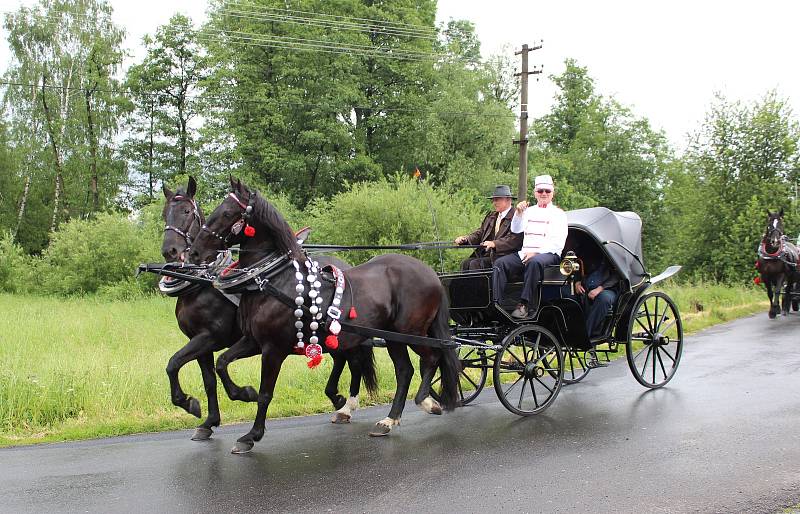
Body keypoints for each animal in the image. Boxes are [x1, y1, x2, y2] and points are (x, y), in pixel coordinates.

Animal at [161, 175, 380, 436]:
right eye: (164, 214)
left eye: (186, 211)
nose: (170, 251)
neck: (200, 285)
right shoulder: (202, 342)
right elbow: (206, 379)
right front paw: (208, 420)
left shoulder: (209, 337)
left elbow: (174, 363)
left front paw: (206, 402)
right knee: (343, 360)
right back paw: (339, 400)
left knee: (353, 361)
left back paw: (345, 404)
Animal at [188, 177, 460, 452]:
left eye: (227, 213)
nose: (194, 253)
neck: (275, 280)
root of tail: (429, 272)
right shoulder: (253, 341)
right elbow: (222, 363)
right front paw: (243, 393)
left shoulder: (273, 348)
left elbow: (265, 394)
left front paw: (251, 435)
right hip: (393, 336)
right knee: (404, 371)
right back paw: (388, 420)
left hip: (410, 332)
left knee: (432, 357)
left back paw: (425, 401)